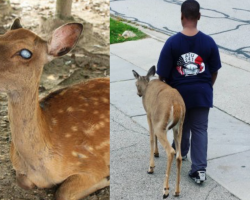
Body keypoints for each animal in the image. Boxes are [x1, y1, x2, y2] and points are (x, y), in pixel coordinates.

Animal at [0, 18, 109, 199]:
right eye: (1, 37)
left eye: (26, 53)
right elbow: (23, 181)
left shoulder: (93, 165)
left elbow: (62, 192)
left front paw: (106, 179)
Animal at [133, 65, 186, 198]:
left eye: (135, 84)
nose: (138, 93)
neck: (147, 85)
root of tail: (176, 104)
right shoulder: (155, 119)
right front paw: (156, 153)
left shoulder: (149, 114)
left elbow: (151, 138)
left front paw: (151, 167)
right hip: (179, 126)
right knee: (178, 155)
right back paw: (177, 191)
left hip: (161, 123)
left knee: (170, 151)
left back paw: (165, 190)